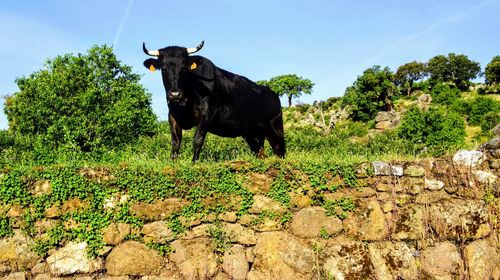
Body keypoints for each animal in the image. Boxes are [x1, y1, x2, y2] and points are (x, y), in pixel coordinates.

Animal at [144, 40, 286, 161]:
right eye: (163, 69)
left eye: (184, 68)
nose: (175, 94)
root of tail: (272, 93)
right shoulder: (173, 116)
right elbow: (175, 143)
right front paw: (173, 163)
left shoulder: (206, 116)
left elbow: (197, 140)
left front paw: (194, 163)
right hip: (252, 134)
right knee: (260, 152)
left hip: (275, 128)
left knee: (280, 151)